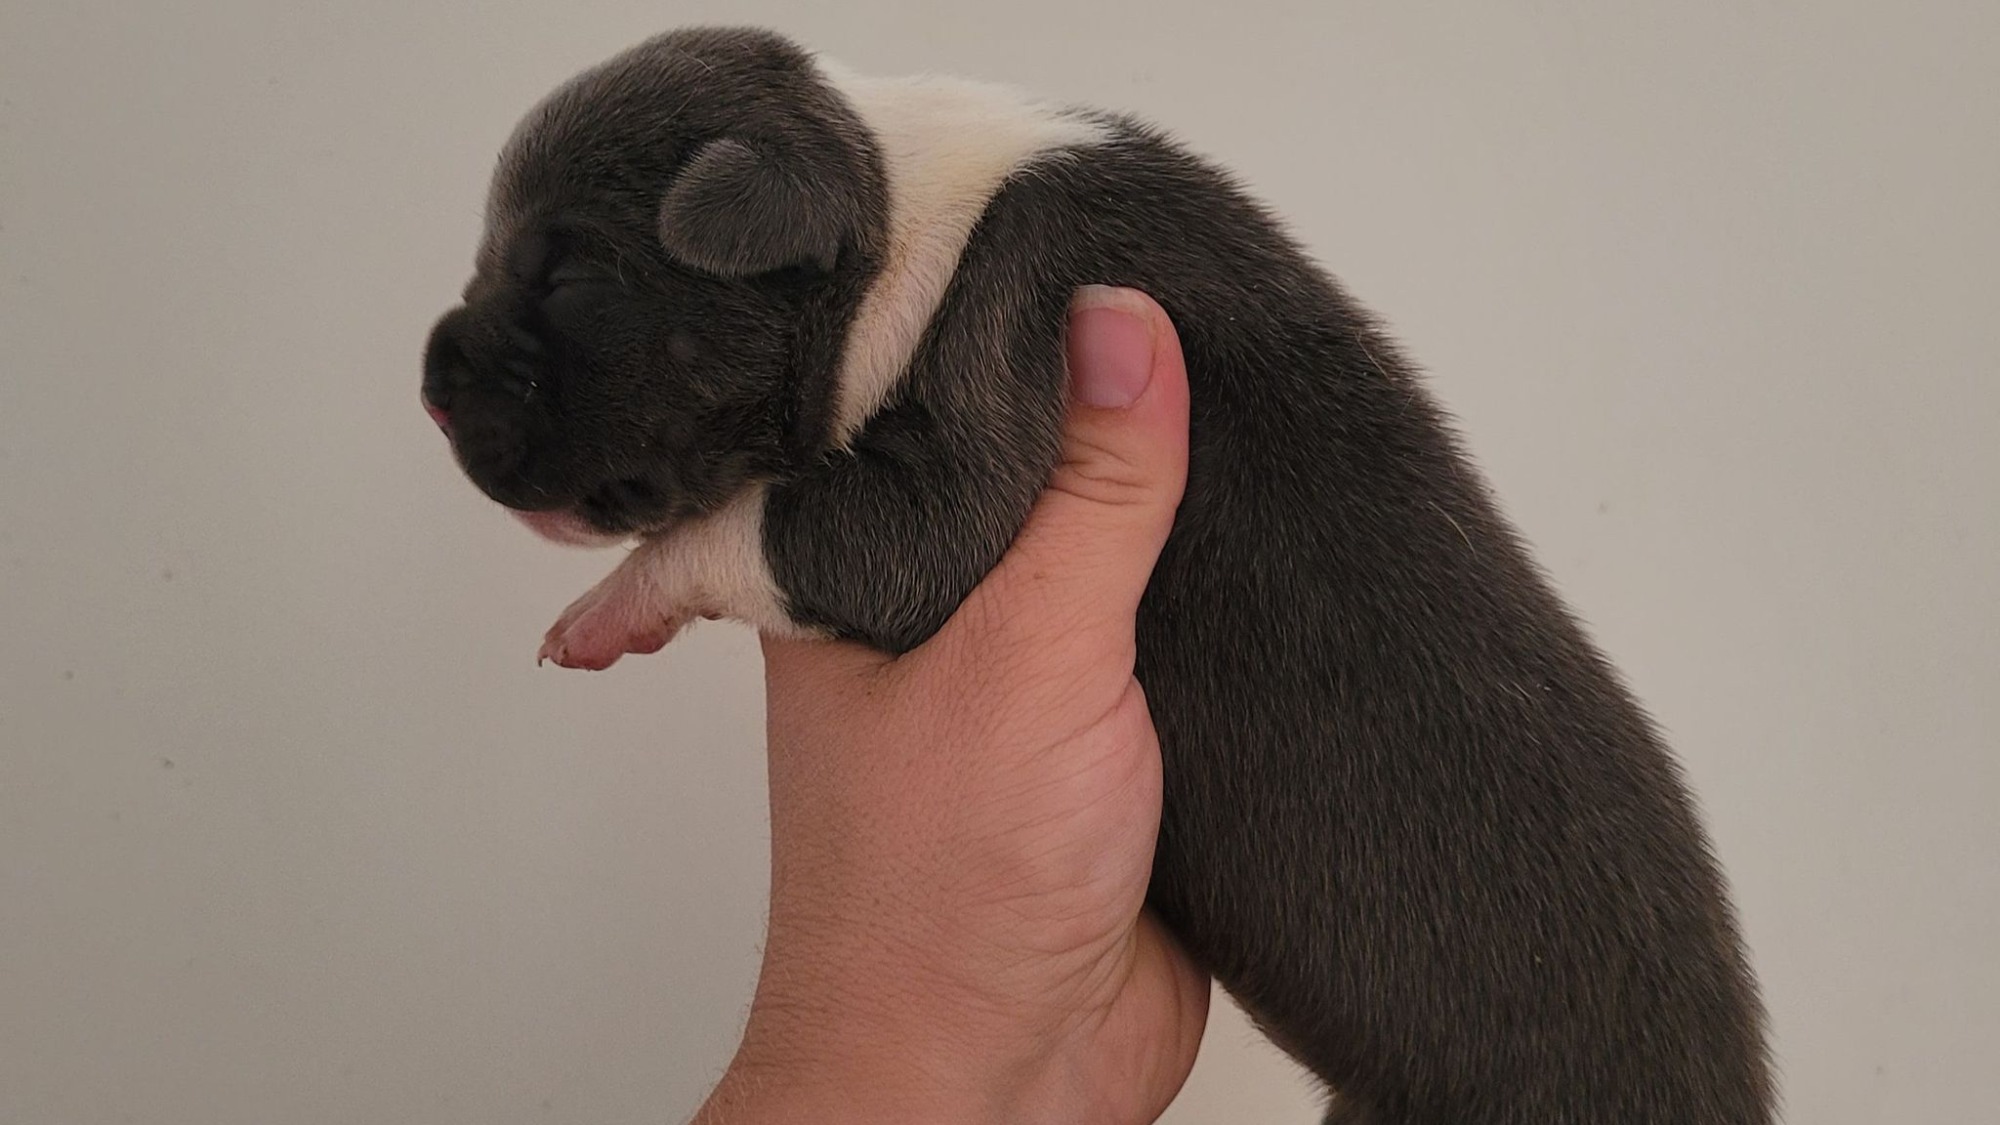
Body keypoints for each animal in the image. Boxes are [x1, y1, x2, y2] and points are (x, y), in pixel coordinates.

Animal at [418, 26, 1768, 1120]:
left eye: (565, 274)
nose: (427, 379)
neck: (896, 205)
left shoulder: (1007, 346)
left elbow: (835, 533)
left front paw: (609, 608)